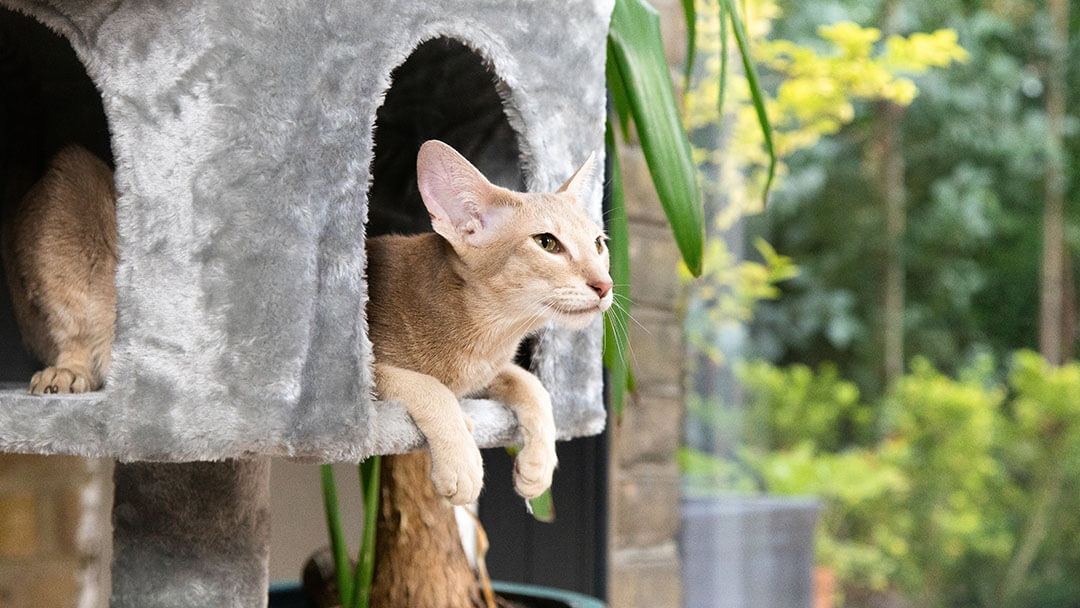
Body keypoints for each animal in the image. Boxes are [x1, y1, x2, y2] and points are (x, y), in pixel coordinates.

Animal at [0, 139, 613, 505]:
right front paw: (462, 461)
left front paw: (539, 465)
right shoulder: (365, 369)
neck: (485, 334)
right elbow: (431, 388)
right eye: (548, 243)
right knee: (74, 337)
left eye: (600, 243)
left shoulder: (490, 372)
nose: (604, 285)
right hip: (69, 194)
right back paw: (67, 375)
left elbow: (532, 386)